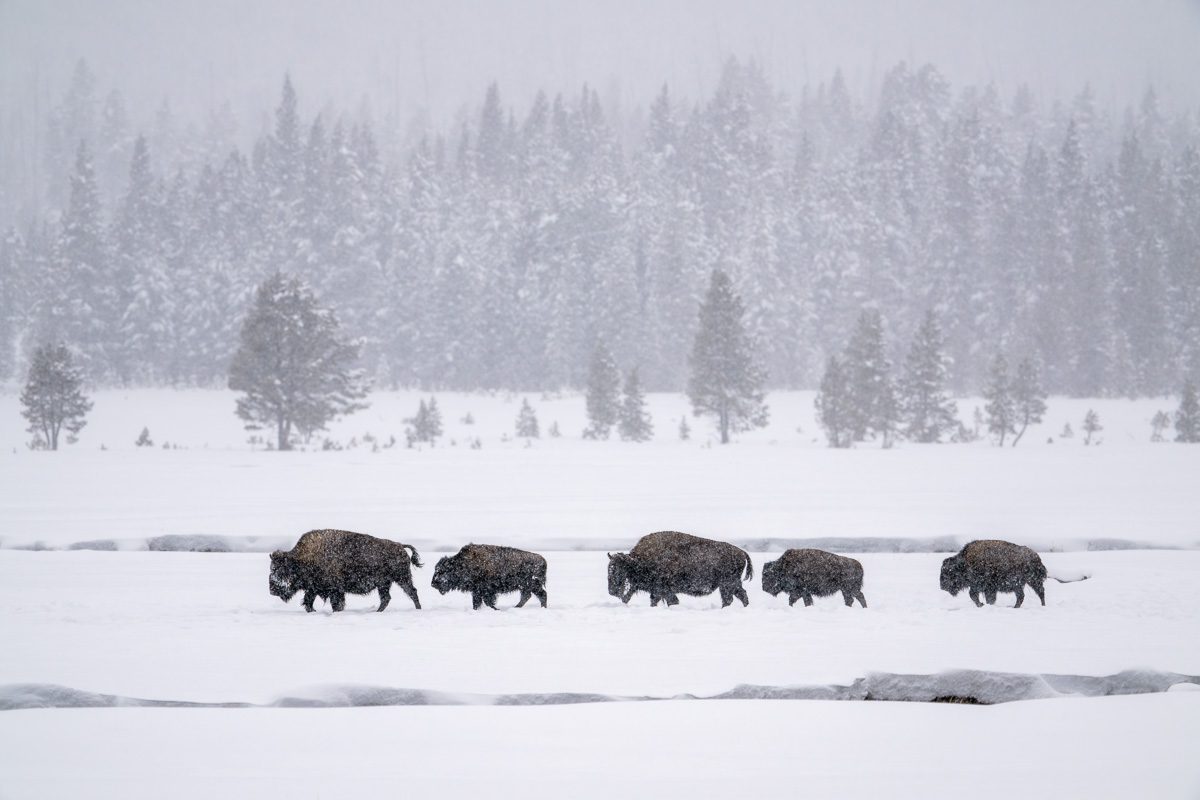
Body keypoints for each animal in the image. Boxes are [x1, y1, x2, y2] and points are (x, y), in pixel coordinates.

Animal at [270, 532, 424, 614]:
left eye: (282, 569)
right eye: (272, 568)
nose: (272, 590)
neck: (302, 559)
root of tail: (400, 546)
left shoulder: (334, 590)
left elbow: (335, 603)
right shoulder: (313, 588)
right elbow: (308, 601)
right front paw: (313, 611)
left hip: (401, 579)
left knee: (411, 592)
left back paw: (418, 609)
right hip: (385, 584)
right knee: (386, 598)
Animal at [609, 532, 748, 606]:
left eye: (620, 570)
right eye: (609, 569)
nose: (612, 591)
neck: (636, 561)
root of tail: (741, 552)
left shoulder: (663, 590)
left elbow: (670, 601)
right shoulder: (656, 591)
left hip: (727, 584)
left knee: (730, 598)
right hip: (729, 585)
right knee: (738, 596)